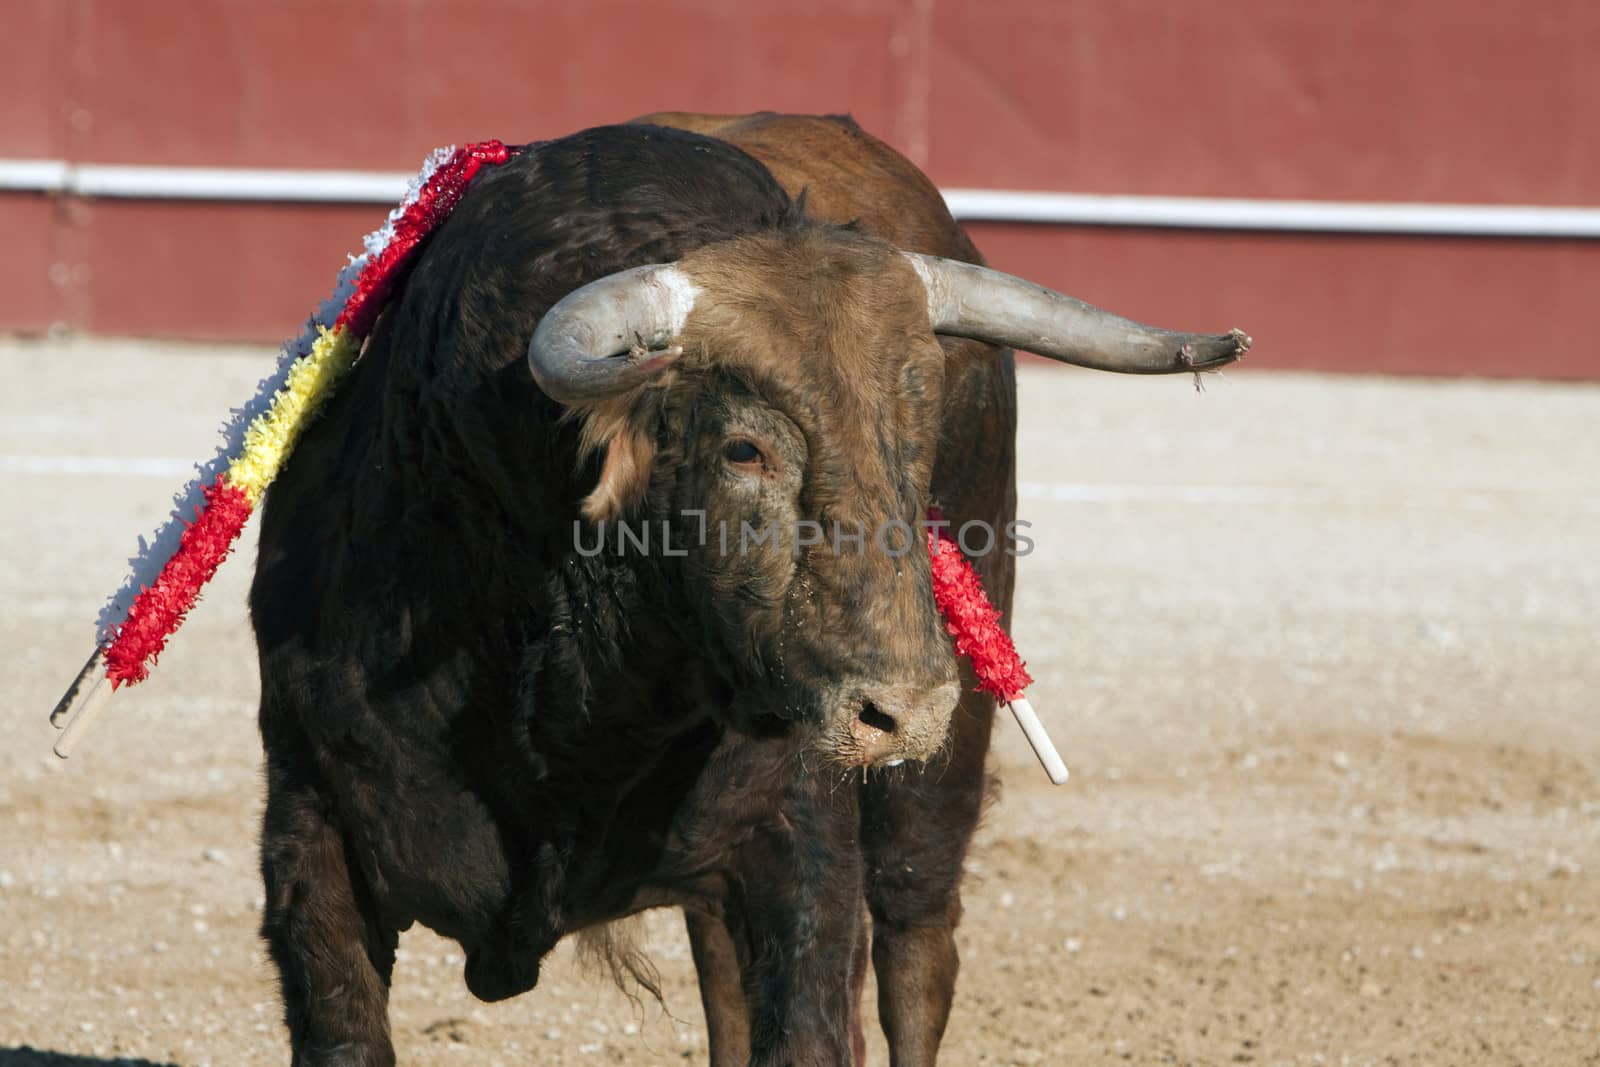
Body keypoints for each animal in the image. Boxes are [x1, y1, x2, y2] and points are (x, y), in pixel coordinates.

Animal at [252, 112, 1248, 1062]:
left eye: (919, 428)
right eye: (743, 448)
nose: (903, 711)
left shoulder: (797, 842)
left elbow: (812, 1022)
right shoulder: (311, 823)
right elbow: (344, 1030)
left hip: (937, 780)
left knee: (915, 949)